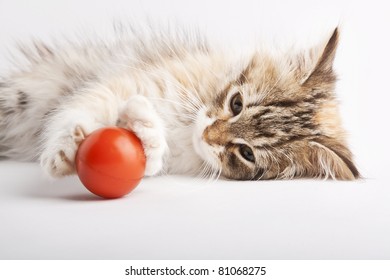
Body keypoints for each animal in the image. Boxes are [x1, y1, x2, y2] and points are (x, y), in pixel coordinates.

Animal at [0, 25, 360, 179]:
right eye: (237, 103)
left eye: (246, 153)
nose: (206, 135)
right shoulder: (128, 82)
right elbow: (80, 109)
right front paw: (62, 152)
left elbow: (151, 160)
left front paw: (146, 131)